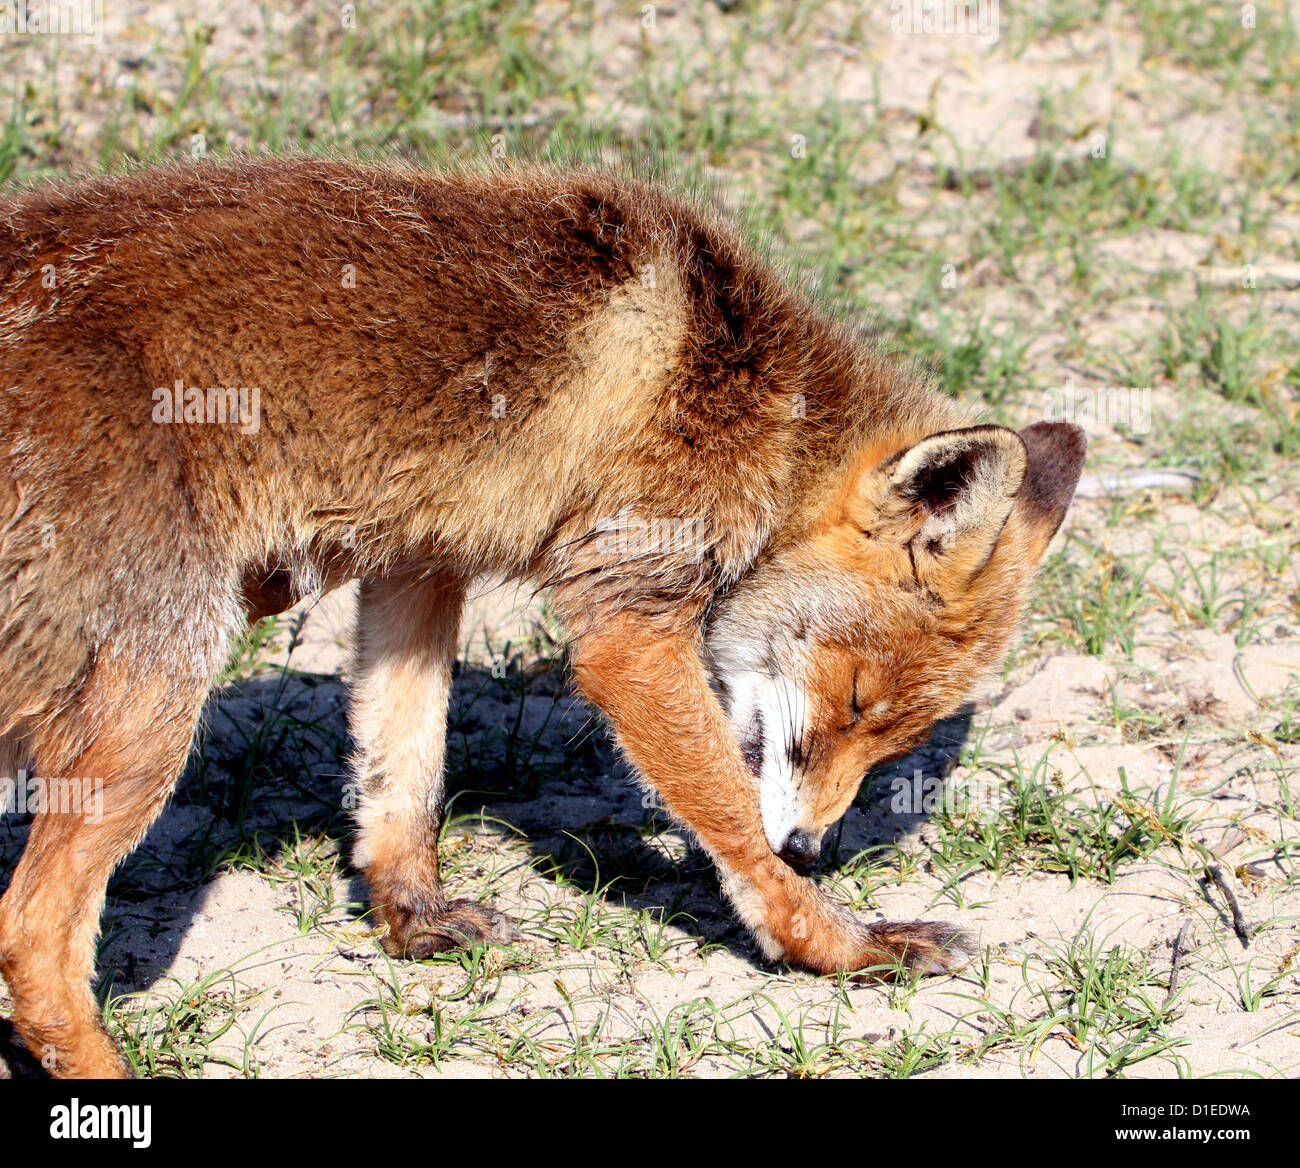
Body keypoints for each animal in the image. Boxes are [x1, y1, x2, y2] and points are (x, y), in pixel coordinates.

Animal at [0, 157, 1084, 1078]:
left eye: (892, 737)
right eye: (854, 701)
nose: (810, 847)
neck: (762, 406)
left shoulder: (418, 565)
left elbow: (404, 766)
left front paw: (412, 917)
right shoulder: (628, 628)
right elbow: (730, 818)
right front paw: (838, 944)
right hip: (155, 695)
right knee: (30, 935)